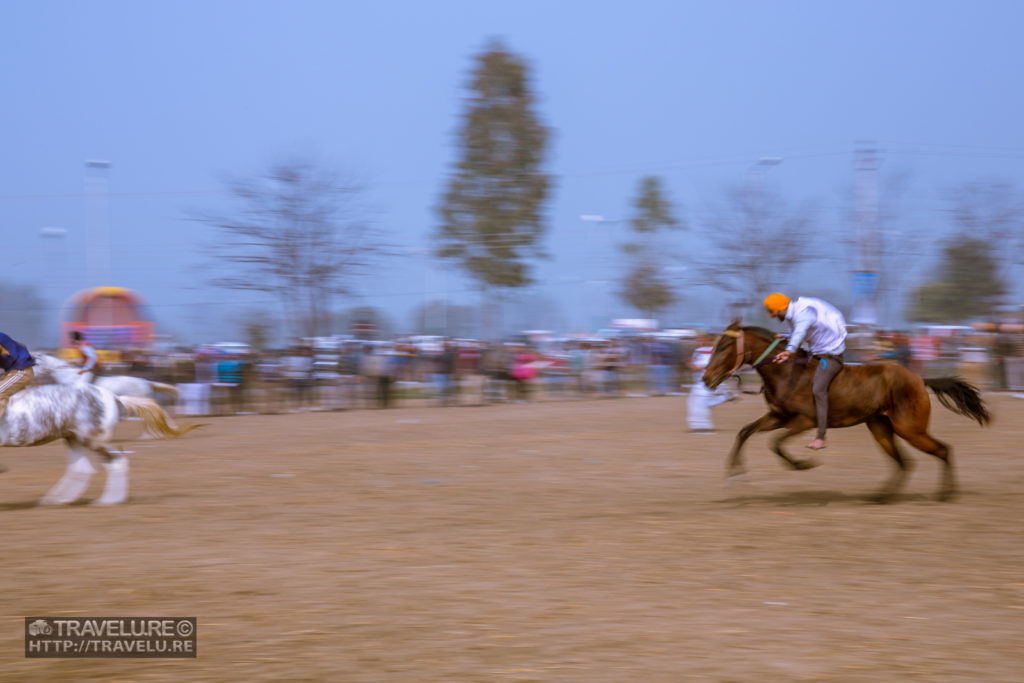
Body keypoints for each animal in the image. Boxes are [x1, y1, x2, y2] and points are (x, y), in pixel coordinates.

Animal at [1, 382, 199, 505]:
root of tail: (115, 397)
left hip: (92, 441)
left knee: (116, 463)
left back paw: (107, 500)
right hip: (73, 438)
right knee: (82, 469)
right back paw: (56, 500)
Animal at [704, 321, 991, 501]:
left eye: (724, 347)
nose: (706, 379)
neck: (786, 372)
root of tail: (919, 379)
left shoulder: (805, 421)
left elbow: (776, 443)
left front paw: (803, 464)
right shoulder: (778, 417)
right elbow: (745, 432)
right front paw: (735, 473)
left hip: (910, 428)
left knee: (943, 450)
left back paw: (945, 494)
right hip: (881, 427)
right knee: (904, 462)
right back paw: (881, 497)